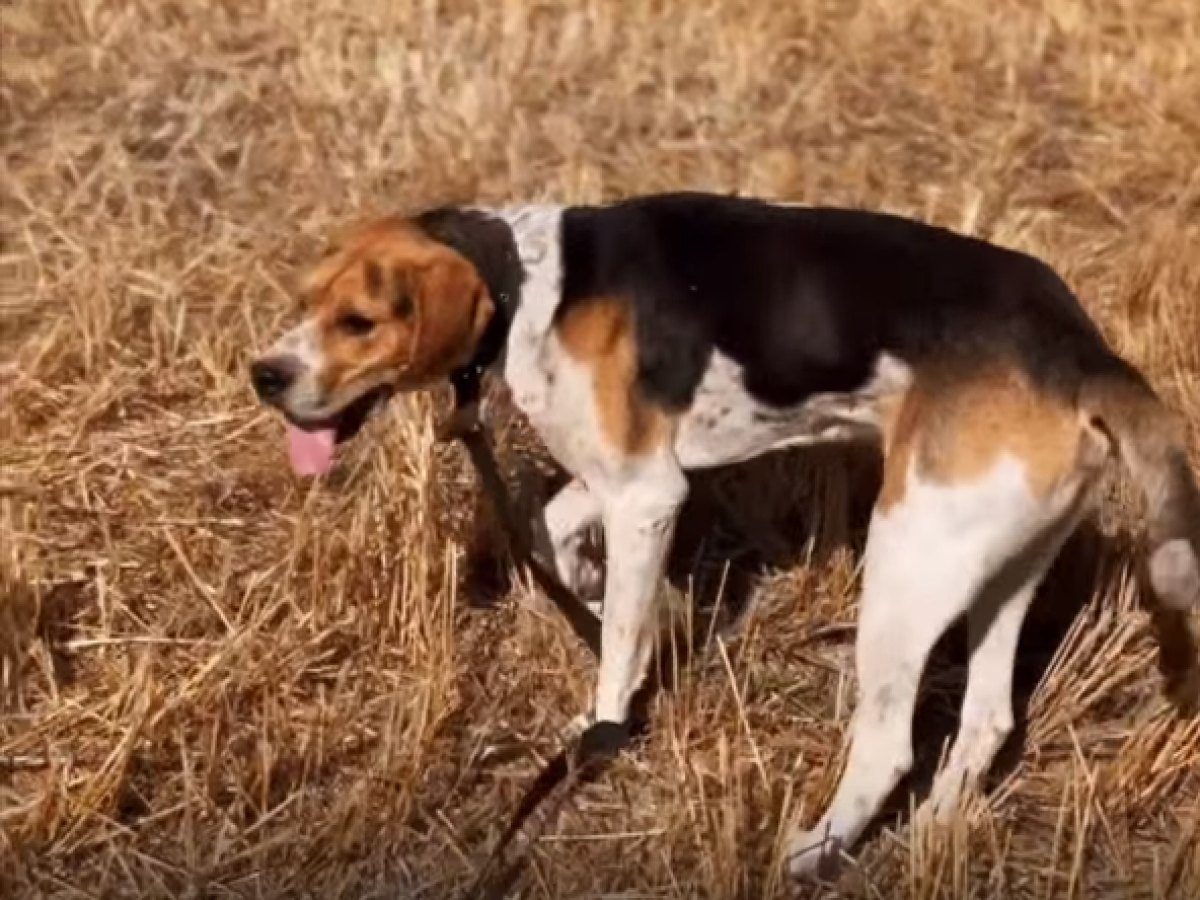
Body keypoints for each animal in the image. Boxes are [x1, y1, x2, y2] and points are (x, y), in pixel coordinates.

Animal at [246, 192, 1200, 883]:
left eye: (360, 320)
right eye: (303, 302)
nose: (266, 374)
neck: (528, 285)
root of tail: (1083, 354)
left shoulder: (646, 492)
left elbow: (615, 647)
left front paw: (604, 715)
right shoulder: (629, 478)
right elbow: (555, 528)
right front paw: (590, 587)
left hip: (908, 558)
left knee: (889, 742)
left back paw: (815, 850)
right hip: (1000, 561)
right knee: (988, 718)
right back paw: (931, 839)